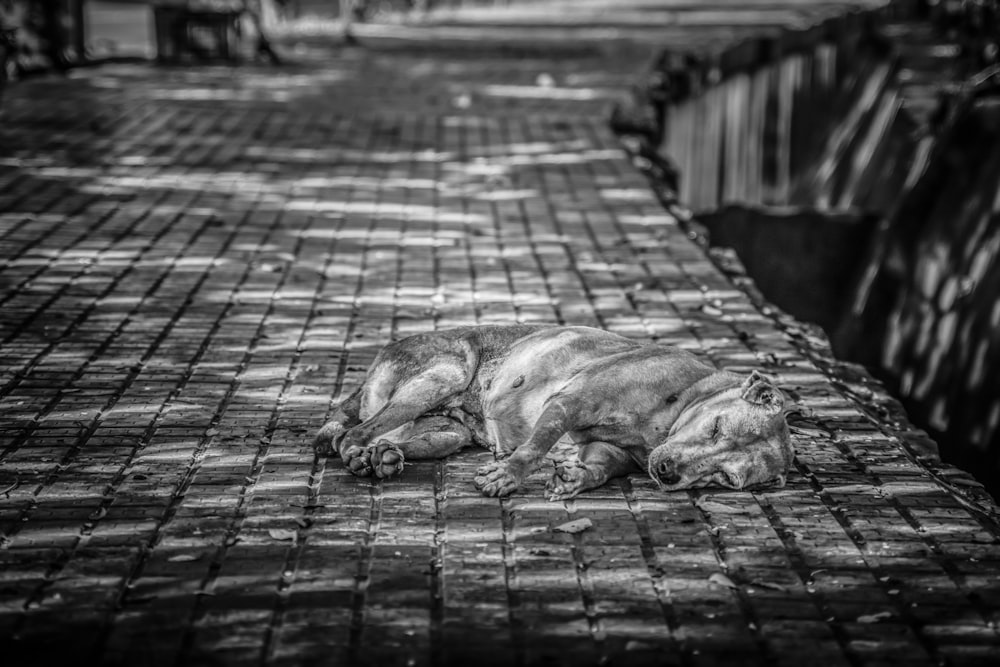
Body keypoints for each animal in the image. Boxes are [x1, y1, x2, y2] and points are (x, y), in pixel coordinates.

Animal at [312, 326, 788, 498]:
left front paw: (576, 479)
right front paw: (508, 475)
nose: (668, 473)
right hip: (443, 375)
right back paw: (359, 454)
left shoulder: (608, 450)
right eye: (716, 428)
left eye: (726, 478)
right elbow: (536, 445)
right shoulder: (568, 402)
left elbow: (598, 466)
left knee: (389, 439)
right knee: (353, 434)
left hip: (445, 434)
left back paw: (384, 457)